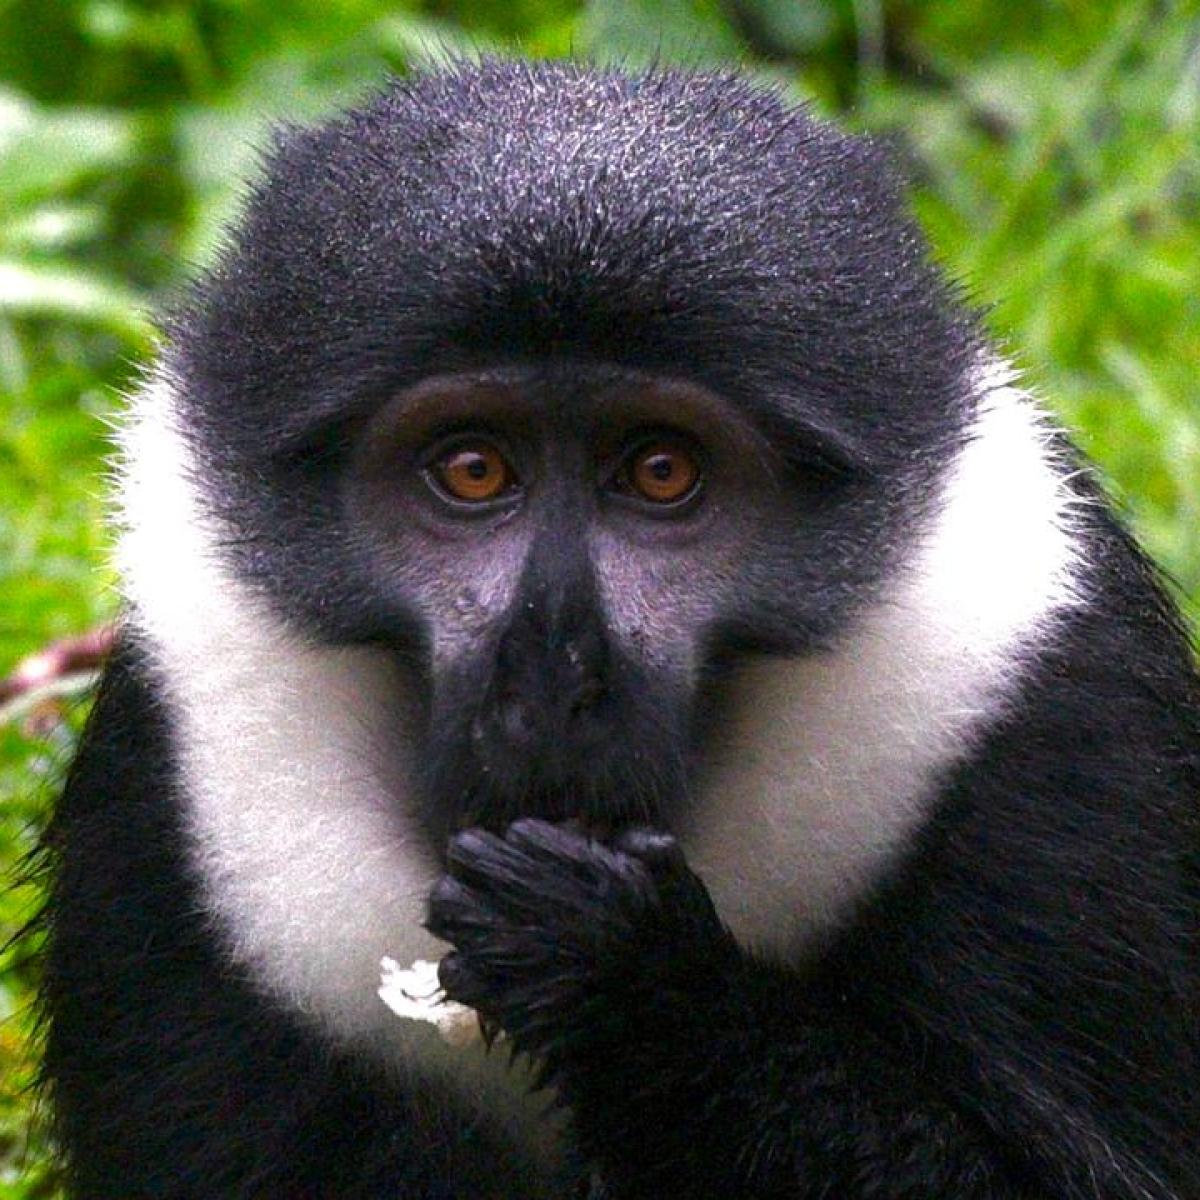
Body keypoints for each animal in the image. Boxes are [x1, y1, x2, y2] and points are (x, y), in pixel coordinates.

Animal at [37, 58, 1200, 1200]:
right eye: (473, 469)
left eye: (661, 471)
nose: (553, 676)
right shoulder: (154, 802)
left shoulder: (1066, 741)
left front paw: (628, 981)